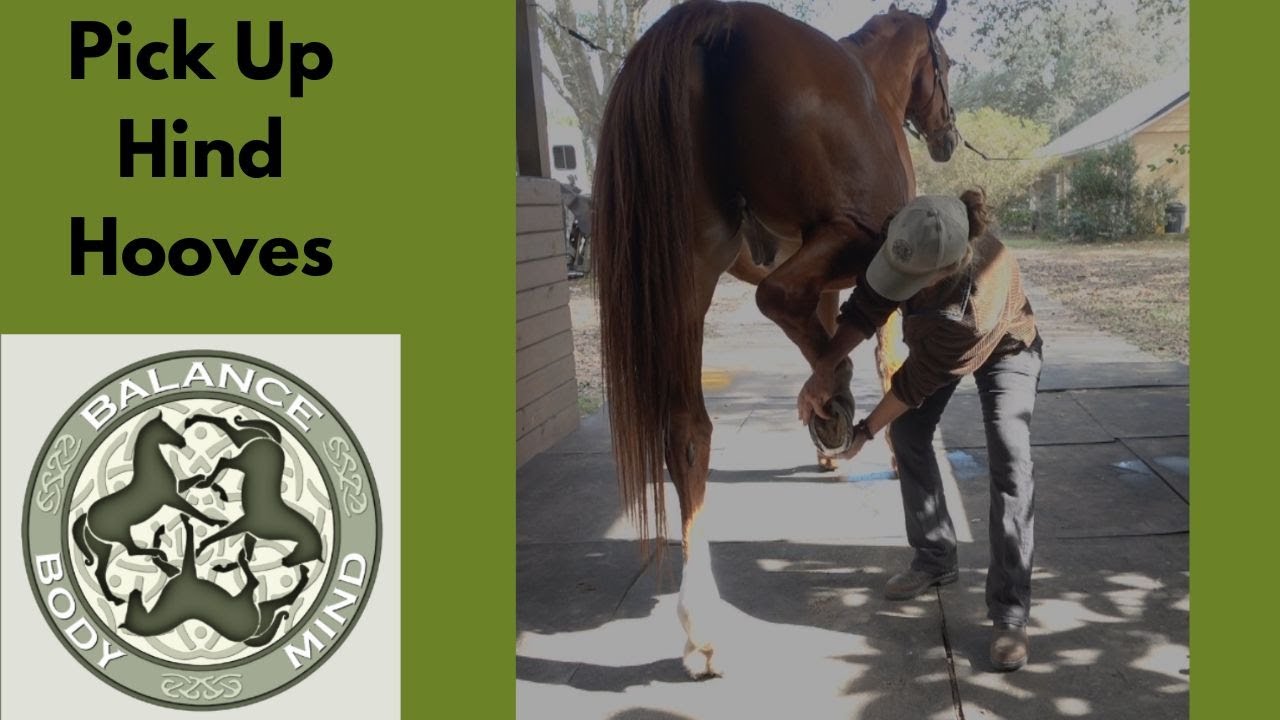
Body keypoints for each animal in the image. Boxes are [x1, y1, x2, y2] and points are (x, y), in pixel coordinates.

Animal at [72, 414, 228, 605]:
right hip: (122, 534)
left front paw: (220, 492)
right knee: (132, 551)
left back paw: (116, 599)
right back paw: (163, 558)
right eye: (165, 427)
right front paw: (217, 522)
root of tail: (86, 518)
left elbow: (200, 478)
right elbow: (194, 511)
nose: (182, 441)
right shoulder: (172, 498)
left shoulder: (177, 489)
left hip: (104, 548)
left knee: (100, 572)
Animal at [120, 514, 309, 647]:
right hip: (257, 606)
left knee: (264, 589)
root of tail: (250, 633)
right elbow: (186, 547)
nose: (134, 591)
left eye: (131, 606)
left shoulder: (181, 575)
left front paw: (164, 534)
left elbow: (165, 559)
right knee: (259, 586)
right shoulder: (185, 575)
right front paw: (186, 524)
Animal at [181, 414, 323, 569]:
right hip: (243, 462)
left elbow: (245, 557)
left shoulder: (251, 534)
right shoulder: (243, 523)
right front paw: (200, 548)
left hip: (244, 443)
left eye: (308, 558)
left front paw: (223, 567)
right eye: (307, 551)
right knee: (224, 460)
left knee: (228, 430)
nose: (286, 562)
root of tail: (272, 441)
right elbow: (220, 535)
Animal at [592, 0, 958, 677]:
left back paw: (702, 624)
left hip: (687, 271)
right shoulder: (883, 268)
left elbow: (828, 328)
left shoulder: (826, 284)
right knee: (776, 298)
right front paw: (855, 424)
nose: (947, 135)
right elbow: (881, 354)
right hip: (861, 233)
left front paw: (826, 427)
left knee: (688, 433)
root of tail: (715, 19)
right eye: (943, 63)